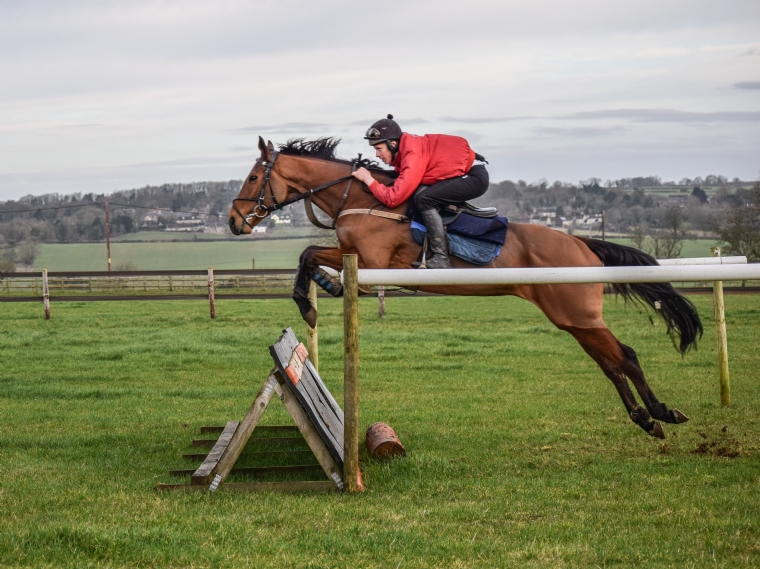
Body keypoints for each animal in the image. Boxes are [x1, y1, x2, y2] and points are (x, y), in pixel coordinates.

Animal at [229, 136, 703, 440]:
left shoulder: (373, 262)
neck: (361, 197)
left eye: (252, 178)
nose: (234, 222)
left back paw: (661, 412)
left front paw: (310, 301)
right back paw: (646, 419)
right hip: (573, 319)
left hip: (578, 313)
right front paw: (320, 289)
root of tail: (581, 243)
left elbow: (309, 253)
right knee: (610, 363)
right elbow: (309, 255)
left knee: (626, 356)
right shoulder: (358, 258)